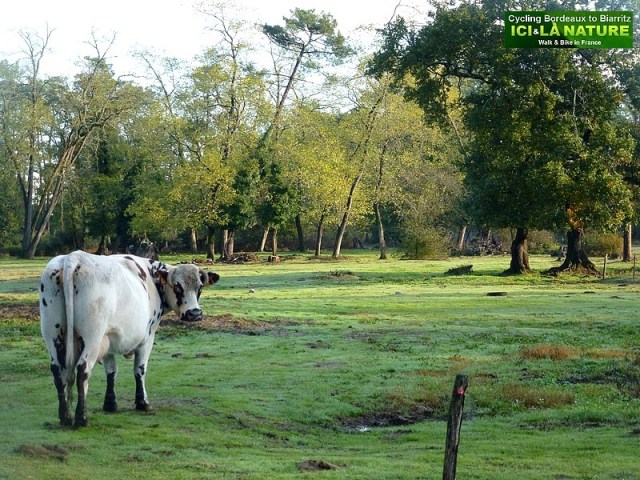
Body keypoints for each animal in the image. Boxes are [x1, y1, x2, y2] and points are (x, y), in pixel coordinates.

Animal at [39, 250, 219, 428]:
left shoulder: (108, 340)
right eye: (177, 286)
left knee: (58, 371)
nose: (194, 313)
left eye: (200, 287)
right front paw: (142, 403)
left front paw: (110, 404)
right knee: (83, 370)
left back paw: (65, 416)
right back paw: (81, 418)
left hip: (53, 334)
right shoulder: (147, 338)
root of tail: (74, 257)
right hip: (92, 337)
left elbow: (111, 371)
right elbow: (139, 369)